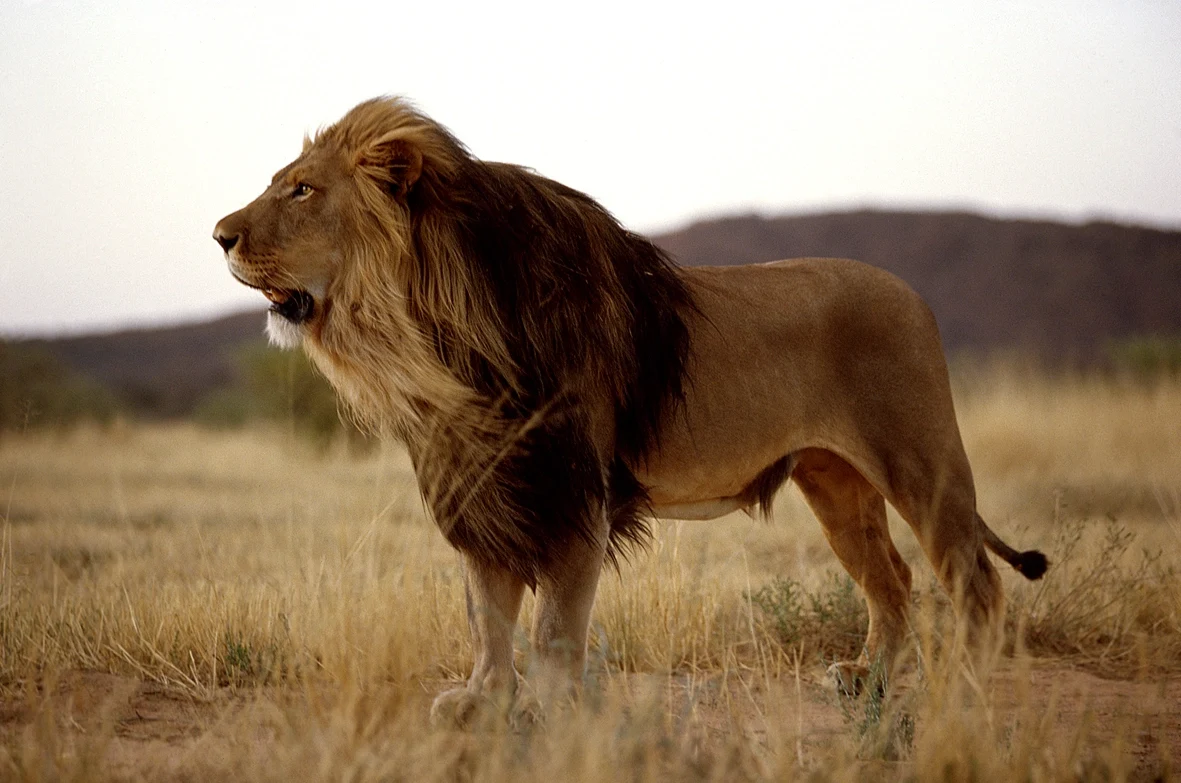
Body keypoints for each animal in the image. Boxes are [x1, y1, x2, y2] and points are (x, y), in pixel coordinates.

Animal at [213, 96, 1046, 722]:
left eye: (301, 190)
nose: (219, 235)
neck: (429, 328)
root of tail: (912, 294)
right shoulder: (485, 487)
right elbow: (486, 610)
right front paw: (482, 699)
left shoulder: (572, 492)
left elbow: (551, 625)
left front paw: (549, 710)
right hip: (835, 483)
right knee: (892, 579)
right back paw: (866, 680)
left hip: (920, 463)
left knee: (974, 581)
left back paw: (958, 689)